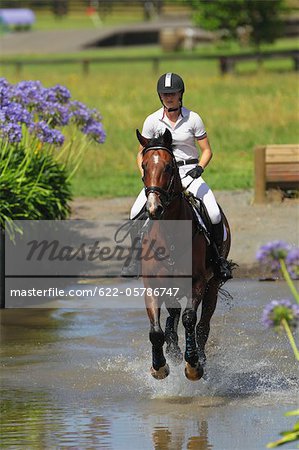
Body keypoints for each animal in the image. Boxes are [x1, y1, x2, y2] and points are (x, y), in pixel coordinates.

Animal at [136, 126, 232, 380]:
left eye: (169, 167)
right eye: (144, 166)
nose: (154, 208)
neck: (169, 234)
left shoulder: (197, 282)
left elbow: (190, 319)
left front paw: (193, 365)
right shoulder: (152, 285)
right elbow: (156, 330)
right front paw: (159, 366)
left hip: (212, 285)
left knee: (202, 324)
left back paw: (198, 357)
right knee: (173, 316)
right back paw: (174, 351)